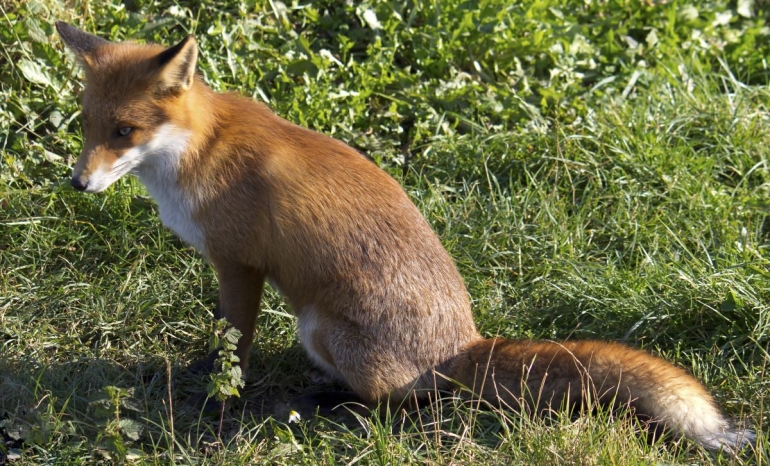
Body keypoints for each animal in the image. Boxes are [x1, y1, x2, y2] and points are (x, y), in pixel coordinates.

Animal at [57, 20, 752, 452]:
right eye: (86, 125)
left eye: (124, 131)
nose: (77, 183)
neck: (196, 151)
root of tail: (464, 344)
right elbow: (219, 341)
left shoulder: (240, 265)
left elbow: (234, 342)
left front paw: (217, 398)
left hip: (318, 324)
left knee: (404, 402)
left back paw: (333, 406)